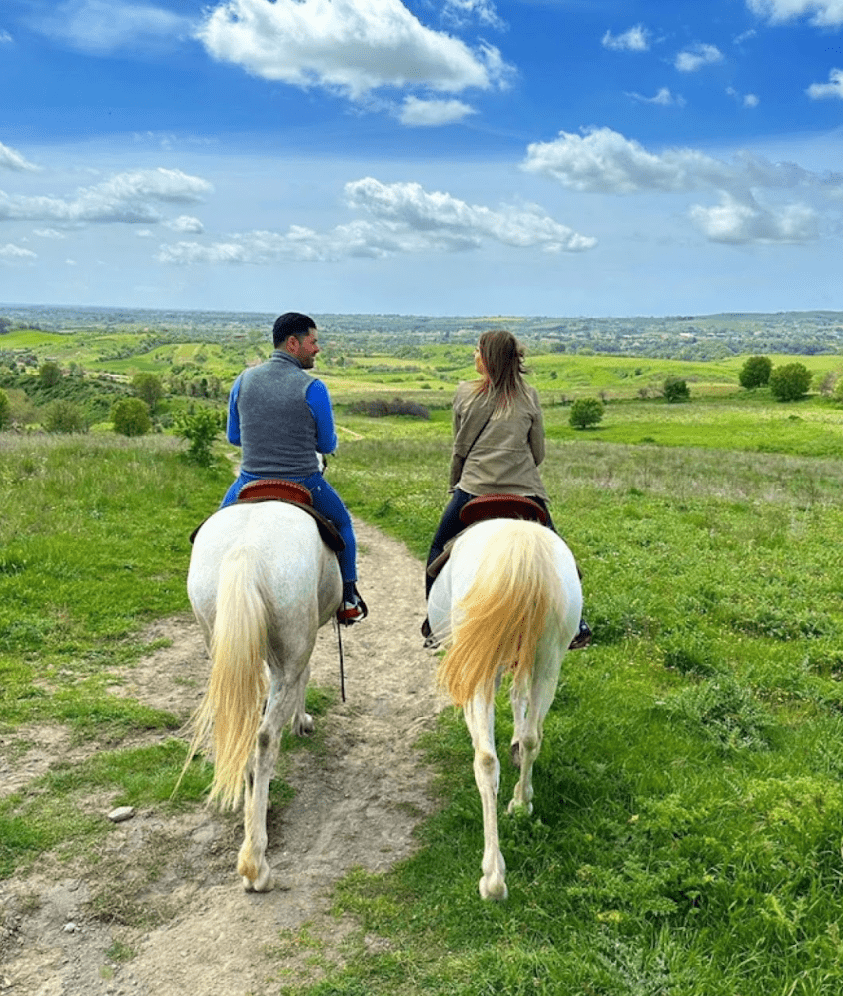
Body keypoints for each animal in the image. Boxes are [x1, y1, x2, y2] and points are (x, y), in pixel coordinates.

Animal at [176, 502, 342, 892]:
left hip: (220, 639)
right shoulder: (299, 651)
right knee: (265, 739)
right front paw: (302, 721)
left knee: (243, 734)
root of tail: (246, 550)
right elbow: (305, 676)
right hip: (293, 644)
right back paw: (256, 865)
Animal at [426, 516, 584, 900]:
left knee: (485, 759)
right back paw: (522, 803)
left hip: (481, 668)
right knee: (532, 738)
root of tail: (521, 544)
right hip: (549, 659)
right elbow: (520, 704)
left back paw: (493, 877)